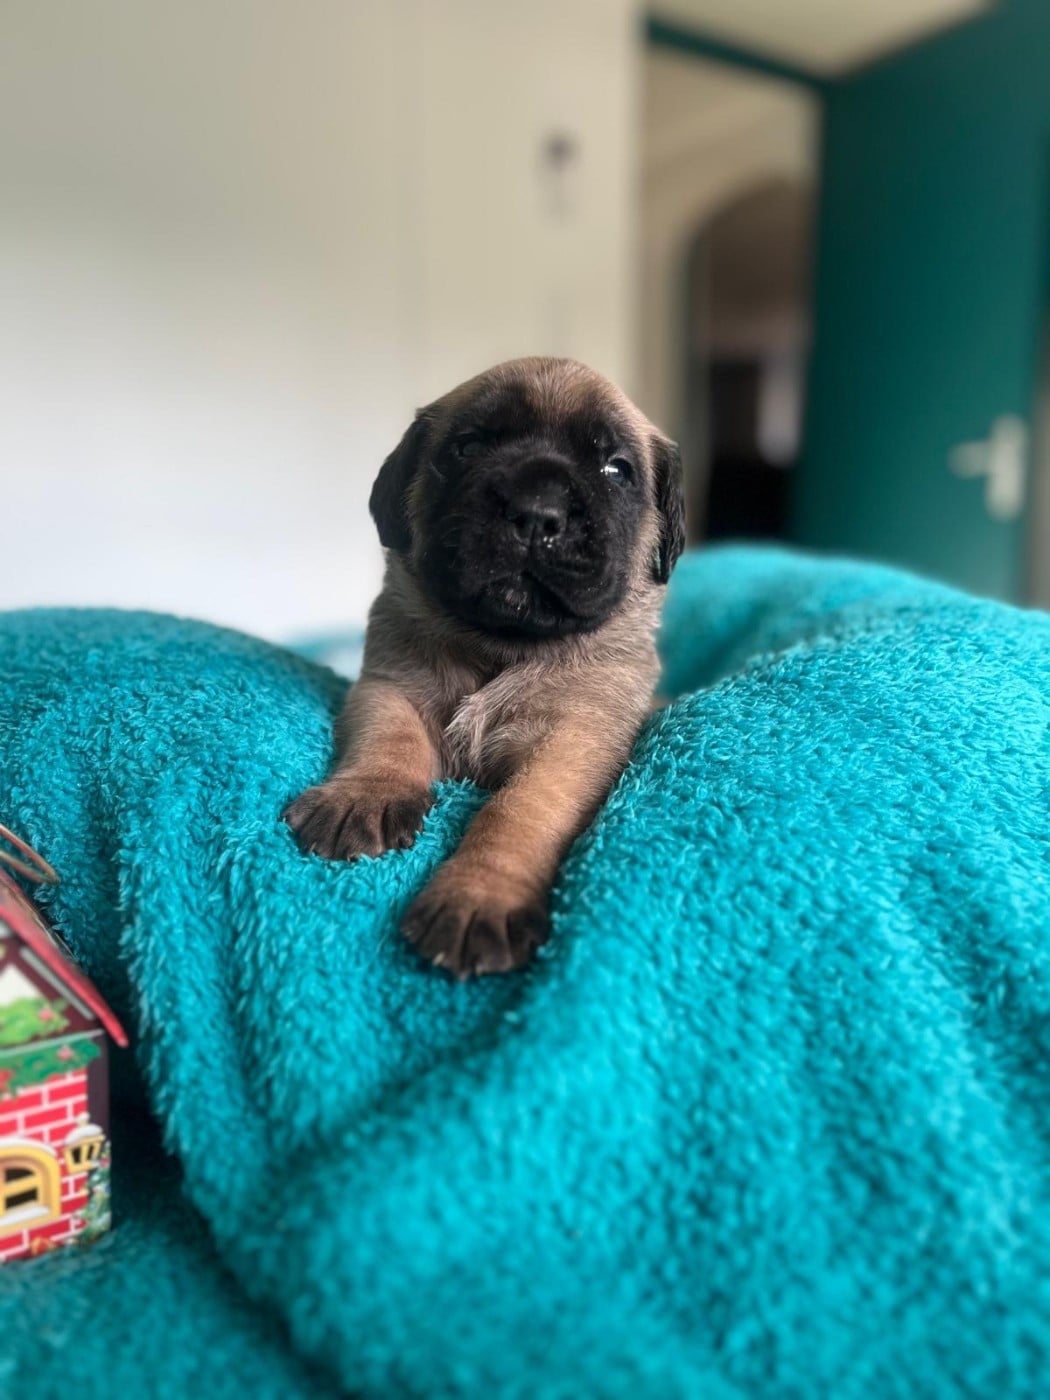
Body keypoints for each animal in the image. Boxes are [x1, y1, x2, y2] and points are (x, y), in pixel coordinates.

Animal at [285, 357, 685, 977]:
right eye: (468, 447)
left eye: (616, 469)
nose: (537, 513)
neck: (503, 650)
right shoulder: (387, 686)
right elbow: (388, 738)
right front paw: (365, 796)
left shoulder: (576, 739)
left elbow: (520, 809)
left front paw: (480, 896)